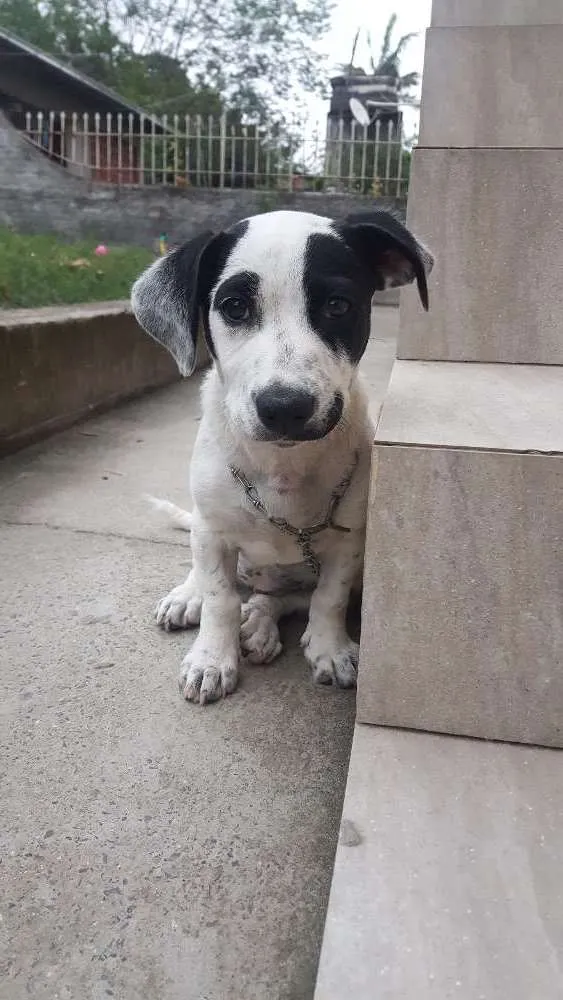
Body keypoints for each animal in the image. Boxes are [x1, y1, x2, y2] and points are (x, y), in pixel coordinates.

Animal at [131, 206, 432, 704]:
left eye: (337, 306)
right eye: (234, 306)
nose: (285, 407)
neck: (282, 467)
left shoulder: (349, 542)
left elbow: (329, 597)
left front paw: (330, 647)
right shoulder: (213, 531)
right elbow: (219, 597)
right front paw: (211, 658)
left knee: (282, 599)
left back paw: (260, 624)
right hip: (205, 528)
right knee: (213, 575)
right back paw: (193, 598)